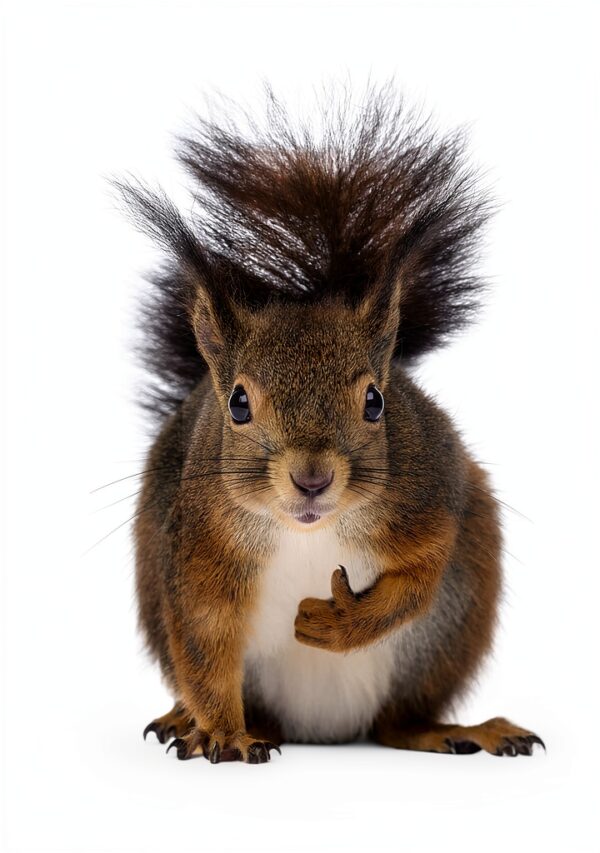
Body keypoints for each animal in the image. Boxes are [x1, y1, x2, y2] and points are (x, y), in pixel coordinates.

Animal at [120, 88, 544, 764]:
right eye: (237, 403)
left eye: (376, 401)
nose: (312, 479)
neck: (306, 531)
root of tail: (323, 729)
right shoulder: (197, 546)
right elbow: (205, 641)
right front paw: (220, 732)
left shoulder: (428, 497)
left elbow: (420, 574)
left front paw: (340, 622)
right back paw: (202, 722)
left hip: (449, 629)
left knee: (399, 721)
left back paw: (457, 730)